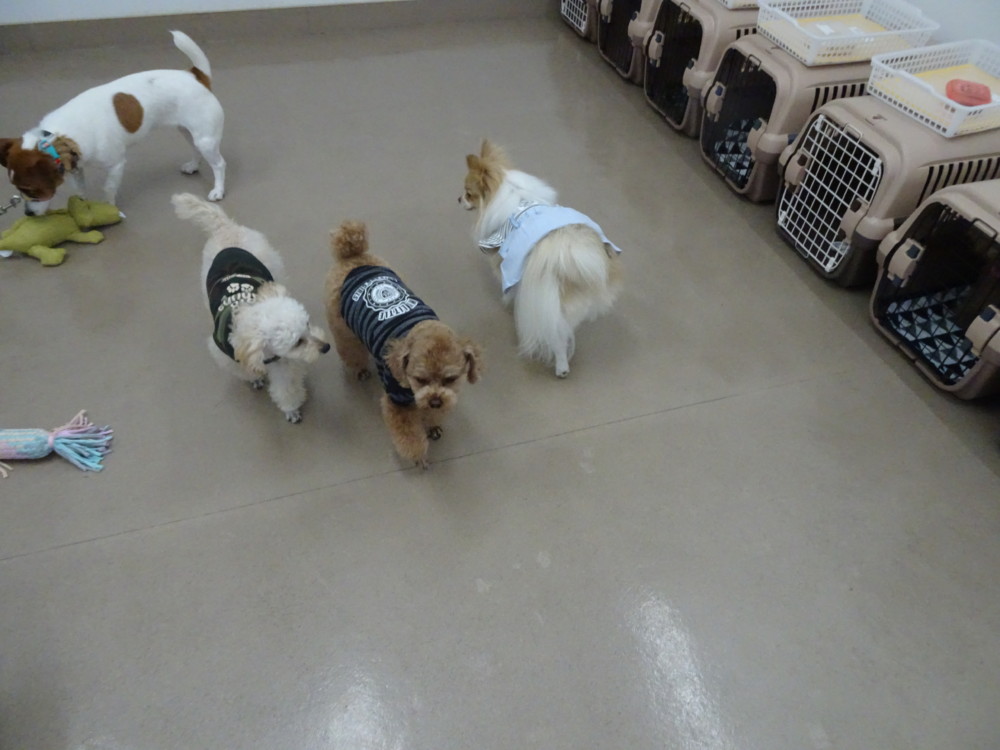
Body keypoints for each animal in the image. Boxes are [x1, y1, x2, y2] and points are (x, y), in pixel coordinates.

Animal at [1, 31, 226, 216]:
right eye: (18, 190)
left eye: (30, 189)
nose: (28, 214)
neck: (58, 135)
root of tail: (196, 76)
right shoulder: (76, 167)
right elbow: (80, 189)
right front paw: (81, 204)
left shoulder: (116, 165)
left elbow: (108, 188)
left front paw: (108, 208)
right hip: (189, 132)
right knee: (196, 150)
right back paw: (193, 166)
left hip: (205, 138)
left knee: (219, 164)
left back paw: (218, 190)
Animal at [172, 193, 329, 423]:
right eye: (298, 342)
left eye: (308, 325)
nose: (326, 347)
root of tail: (225, 227)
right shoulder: (229, 356)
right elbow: (246, 370)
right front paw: (255, 377)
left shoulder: (282, 363)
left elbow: (286, 388)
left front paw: (291, 409)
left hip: (273, 265)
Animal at [325, 220, 482, 469]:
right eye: (419, 378)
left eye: (450, 379)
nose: (435, 401)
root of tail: (353, 257)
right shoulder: (396, 401)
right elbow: (409, 436)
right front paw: (418, 456)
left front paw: (432, 424)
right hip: (344, 331)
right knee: (350, 351)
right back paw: (359, 369)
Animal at [460, 139, 623, 378]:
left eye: (468, 193)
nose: (458, 198)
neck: (515, 195)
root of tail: (570, 253)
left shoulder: (505, 261)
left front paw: (510, 301)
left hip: (549, 304)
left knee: (557, 338)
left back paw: (561, 367)